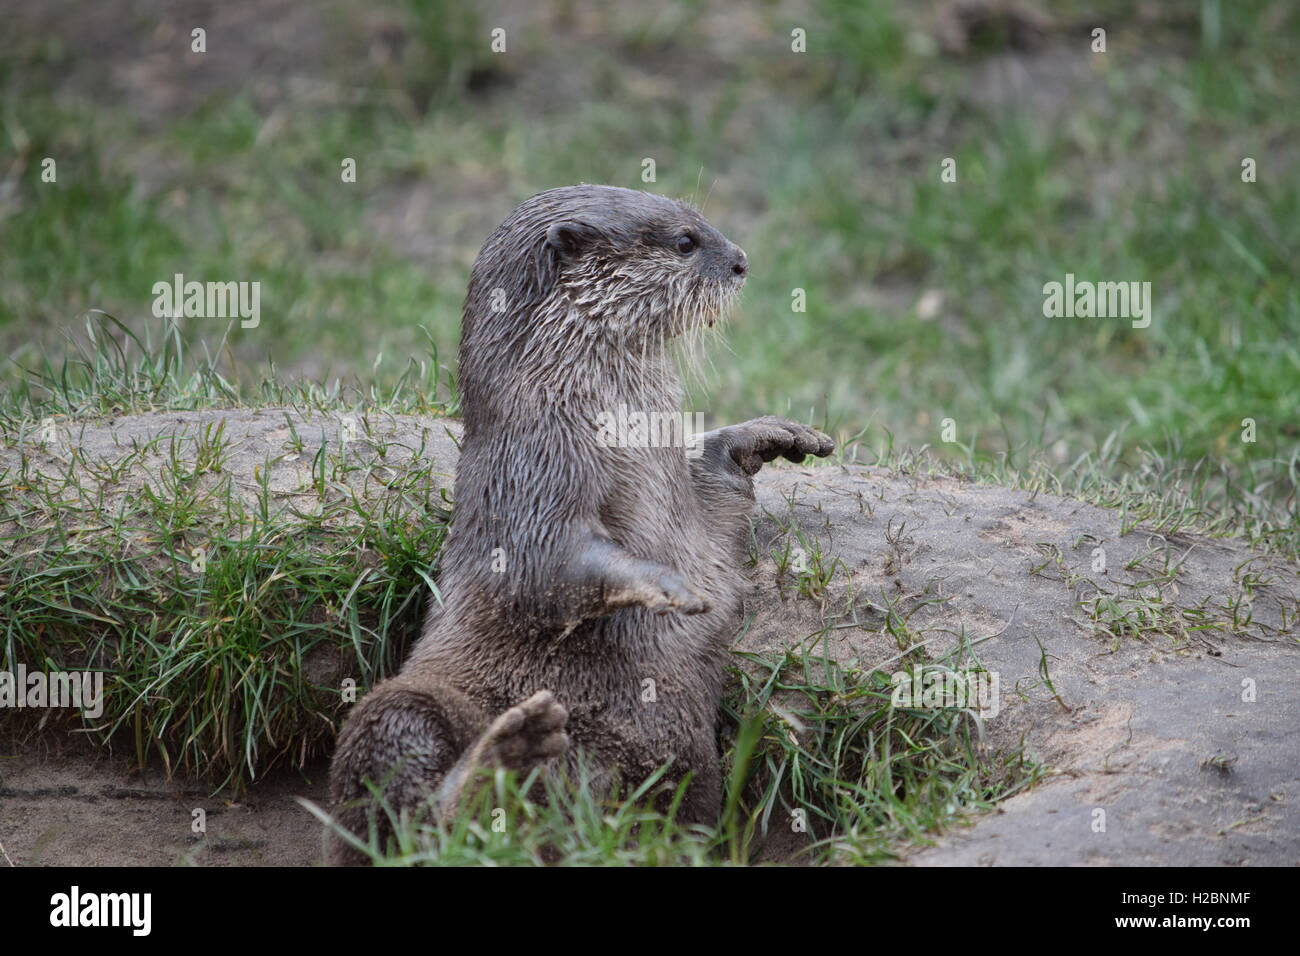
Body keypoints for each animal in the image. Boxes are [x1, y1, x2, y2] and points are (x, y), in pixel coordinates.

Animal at [325, 183, 832, 863]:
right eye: (685, 241)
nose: (741, 261)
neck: (583, 401)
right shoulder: (531, 464)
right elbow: (540, 566)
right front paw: (666, 585)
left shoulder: (688, 512)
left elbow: (713, 494)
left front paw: (769, 434)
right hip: (407, 705)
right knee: (411, 819)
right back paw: (506, 753)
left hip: (688, 769)